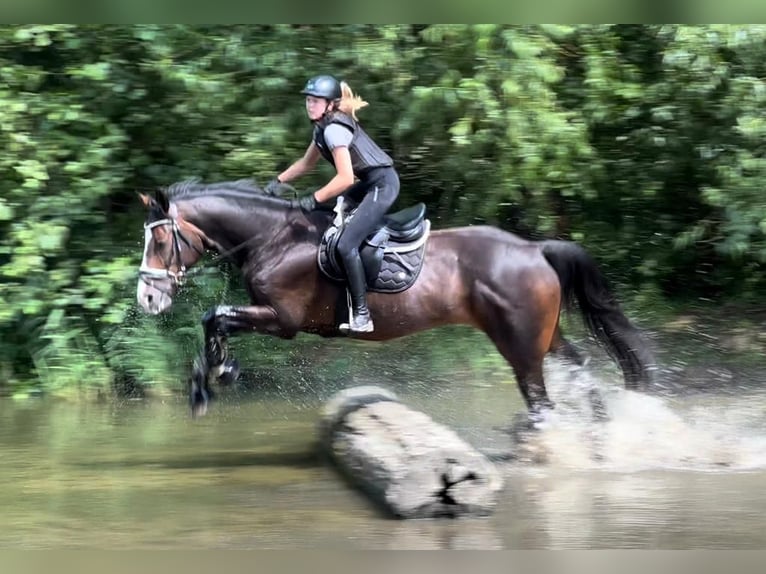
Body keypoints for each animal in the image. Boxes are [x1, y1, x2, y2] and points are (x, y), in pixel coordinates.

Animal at [135, 179, 656, 421]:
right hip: (541, 336)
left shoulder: (282, 319)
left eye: (159, 241)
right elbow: (214, 318)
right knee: (579, 366)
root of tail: (534, 249)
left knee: (540, 398)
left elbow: (215, 316)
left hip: (521, 346)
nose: (146, 298)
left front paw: (212, 380)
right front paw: (214, 374)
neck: (273, 238)